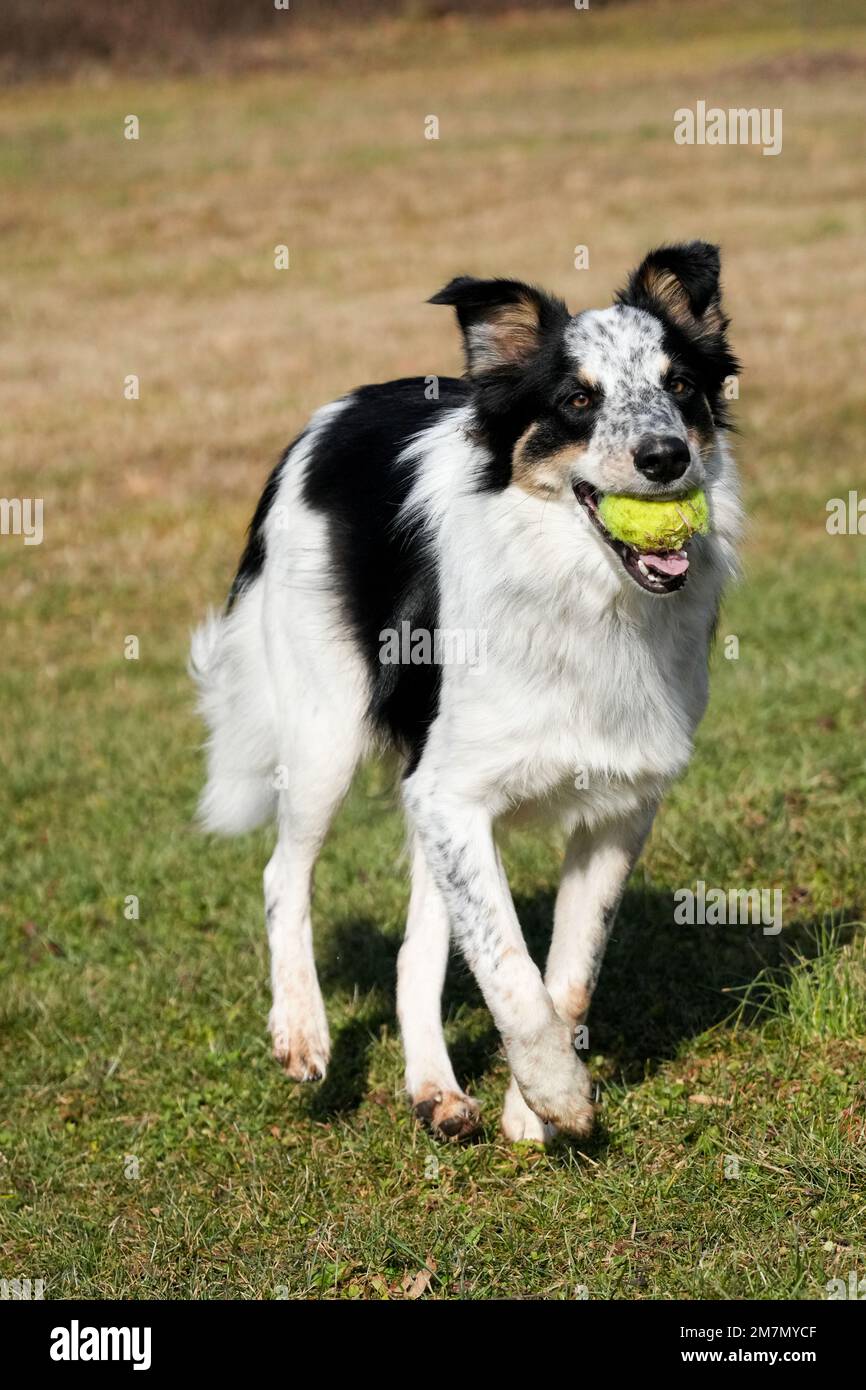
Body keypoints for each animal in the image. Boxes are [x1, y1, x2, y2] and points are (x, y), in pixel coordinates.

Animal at [193, 244, 739, 1145]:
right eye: (578, 400)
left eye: (682, 385)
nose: (665, 457)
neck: (585, 595)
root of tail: (328, 416)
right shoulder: (453, 798)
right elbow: (511, 966)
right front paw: (558, 1093)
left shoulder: (617, 808)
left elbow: (567, 972)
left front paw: (529, 1110)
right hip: (327, 733)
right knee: (283, 873)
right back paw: (303, 1032)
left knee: (416, 949)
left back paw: (435, 1091)